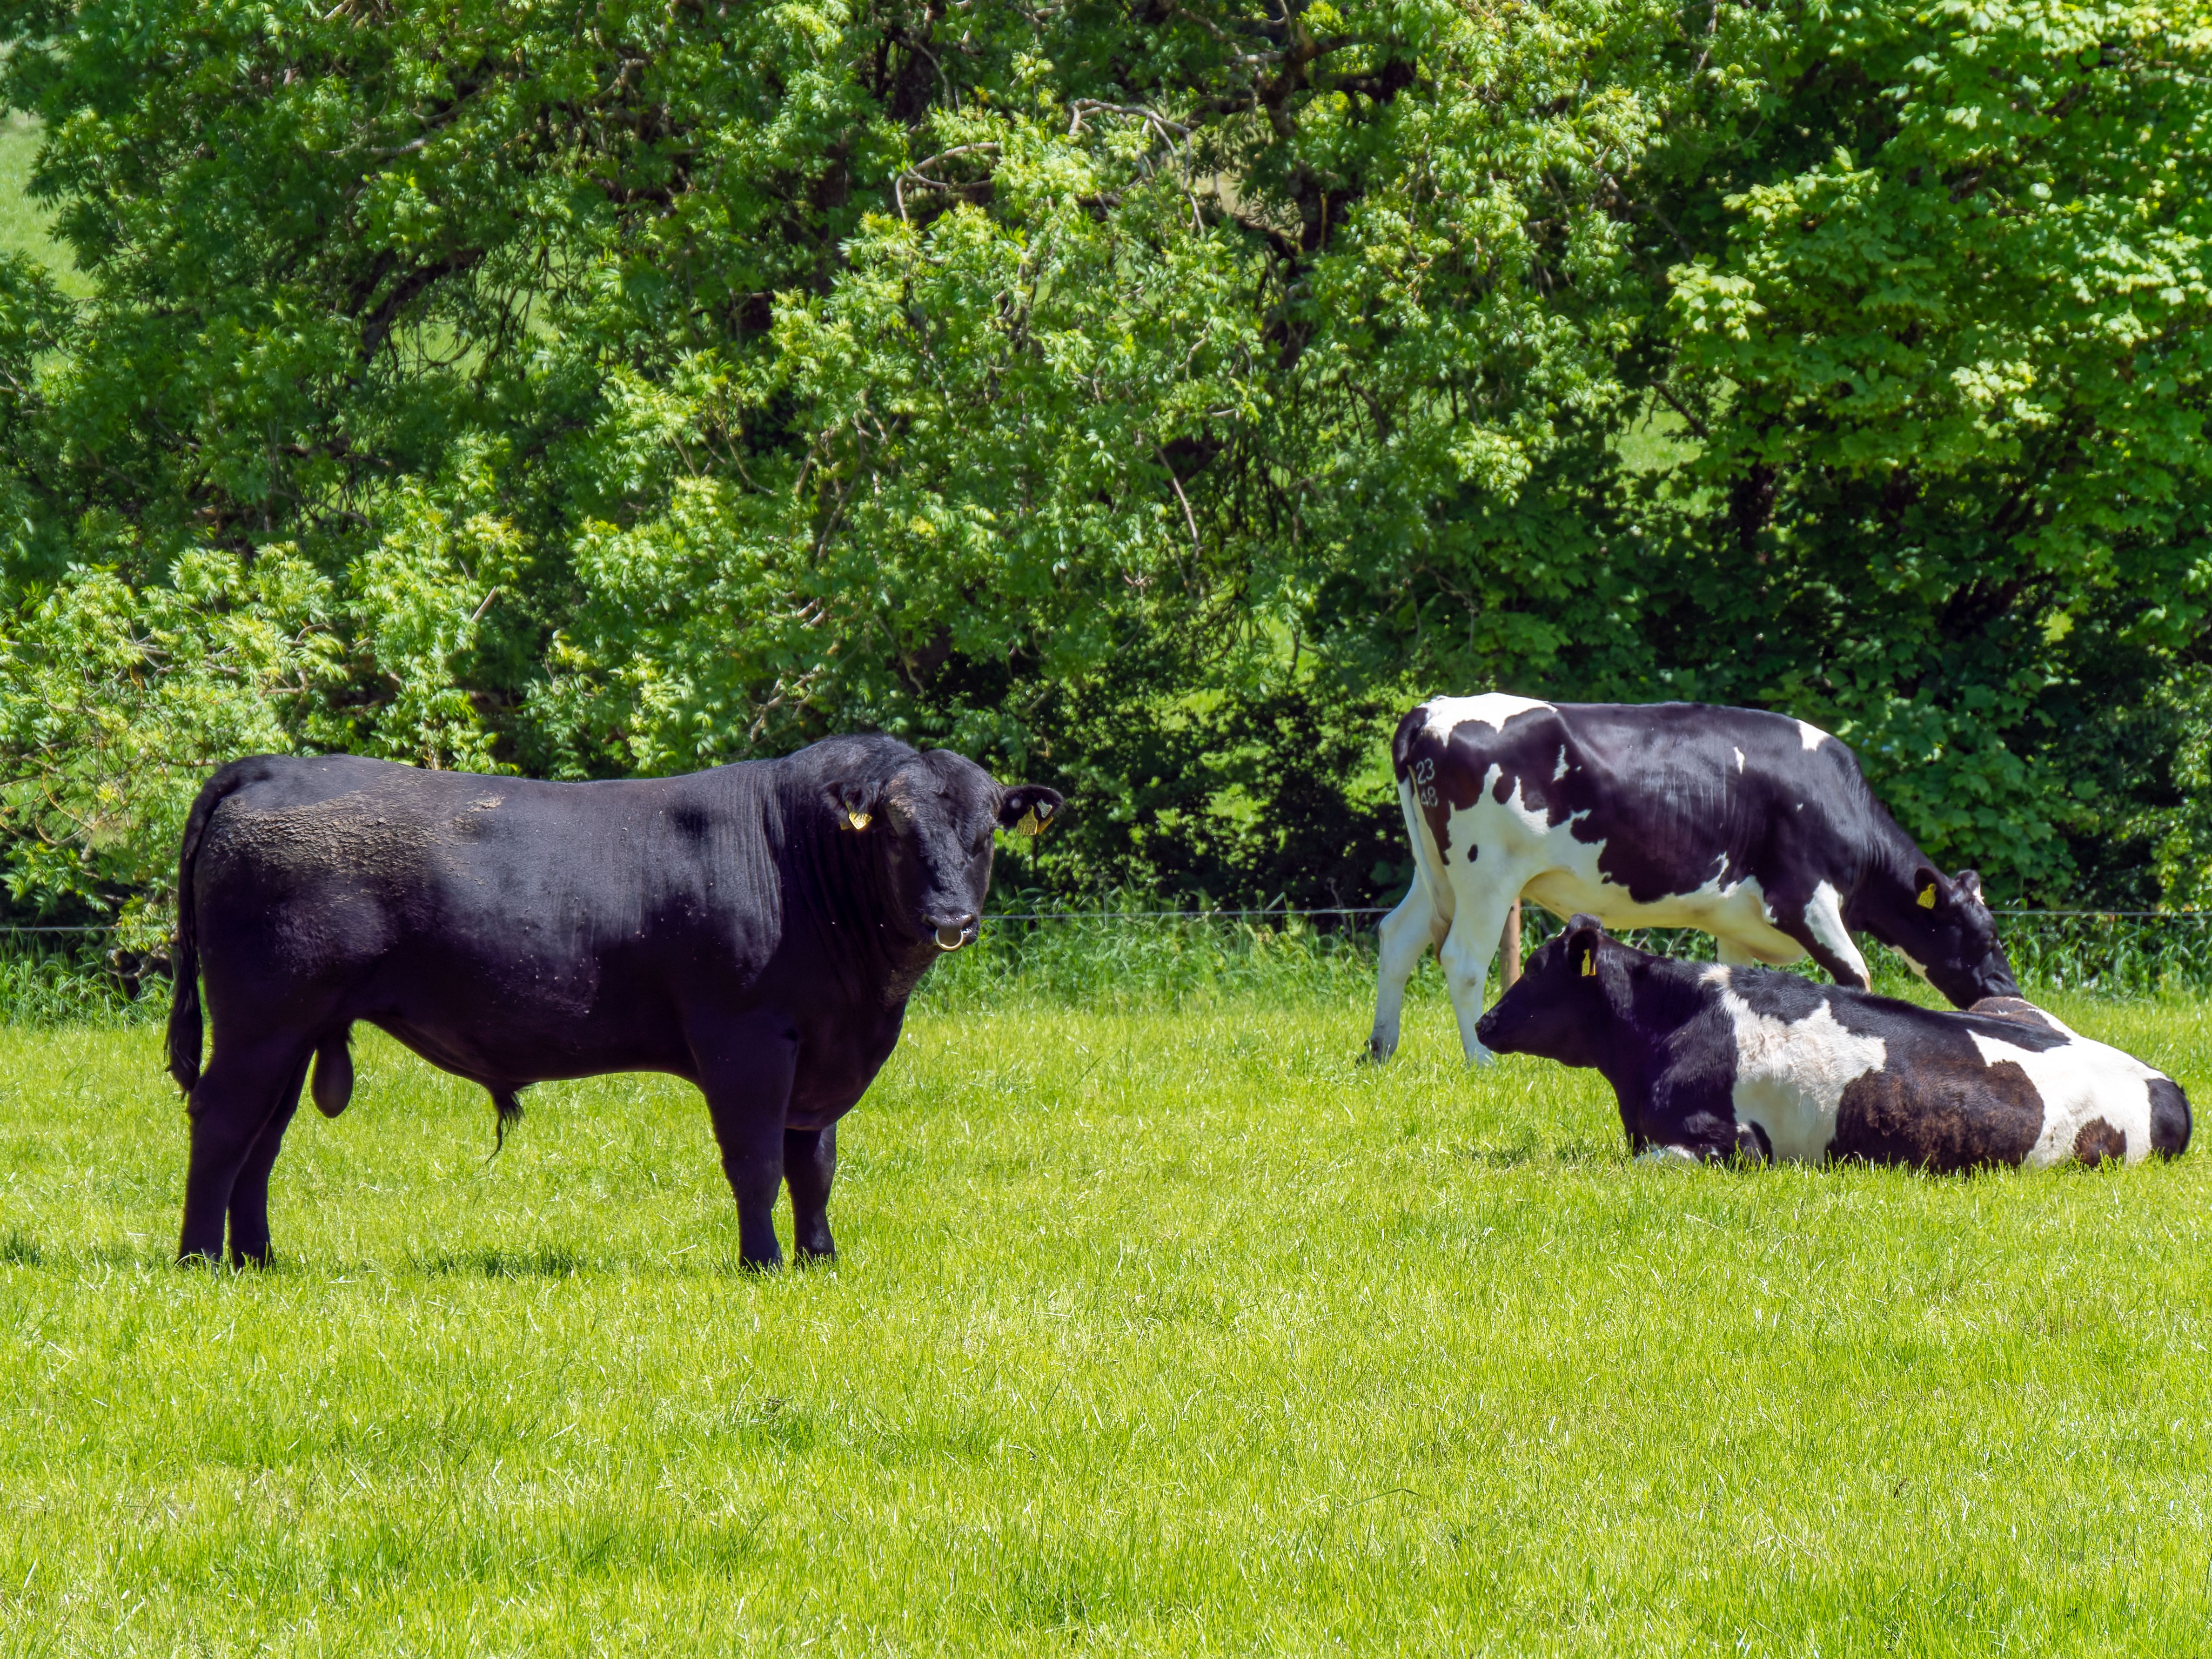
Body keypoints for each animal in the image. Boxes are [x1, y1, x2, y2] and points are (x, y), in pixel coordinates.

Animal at [164, 736, 1063, 1269]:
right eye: (898, 835)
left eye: (984, 834)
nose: (951, 919)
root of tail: (272, 765)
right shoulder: (745, 1040)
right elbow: (758, 1161)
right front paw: (763, 1262)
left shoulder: (820, 1054)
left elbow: (815, 1165)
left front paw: (820, 1259)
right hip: (262, 1020)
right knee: (223, 1124)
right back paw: (200, 1259)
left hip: (293, 1029)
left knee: (263, 1138)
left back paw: (258, 1258)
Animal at [1368, 694, 2020, 1064]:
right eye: (1984, 936)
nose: (2007, 990)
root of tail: (1433, 710)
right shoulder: (1803, 900)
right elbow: (1855, 977)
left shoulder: (1739, 922)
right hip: (1487, 874)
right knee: (1462, 958)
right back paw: (1480, 1057)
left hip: (1434, 873)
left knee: (1397, 937)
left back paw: (1379, 1051)